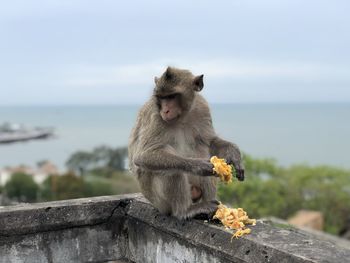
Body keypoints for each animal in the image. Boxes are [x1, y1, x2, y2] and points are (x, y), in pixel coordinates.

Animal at [128, 67, 243, 220]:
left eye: (172, 96)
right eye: (162, 98)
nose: (165, 110)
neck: (182, 116)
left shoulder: (202, 107)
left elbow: (211, 141)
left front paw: (235, 156)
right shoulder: (155, 116)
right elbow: (143, 156)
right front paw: (198, 166)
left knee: (201, 147)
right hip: (159, 202)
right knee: (172, 169)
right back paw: (185, 211)